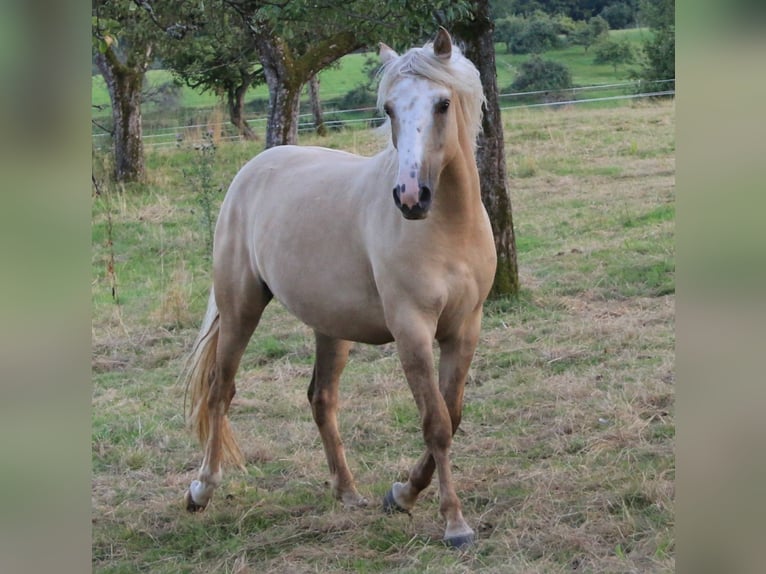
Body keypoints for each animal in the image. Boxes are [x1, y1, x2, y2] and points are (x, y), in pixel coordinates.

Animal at [184, 28, 500, 548]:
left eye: (442, 104)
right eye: (389, 109)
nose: (410, 198)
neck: (448, 229)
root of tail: (252, 170)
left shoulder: (464, 328)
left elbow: (451, 416)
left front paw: (402, 495)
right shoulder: (412, 330)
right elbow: (435, 423)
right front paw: (454, 524)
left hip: (331, 329)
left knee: (321, 399)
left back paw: (348, 492)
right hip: (240, 308)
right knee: (219, 390)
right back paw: (201, 490)